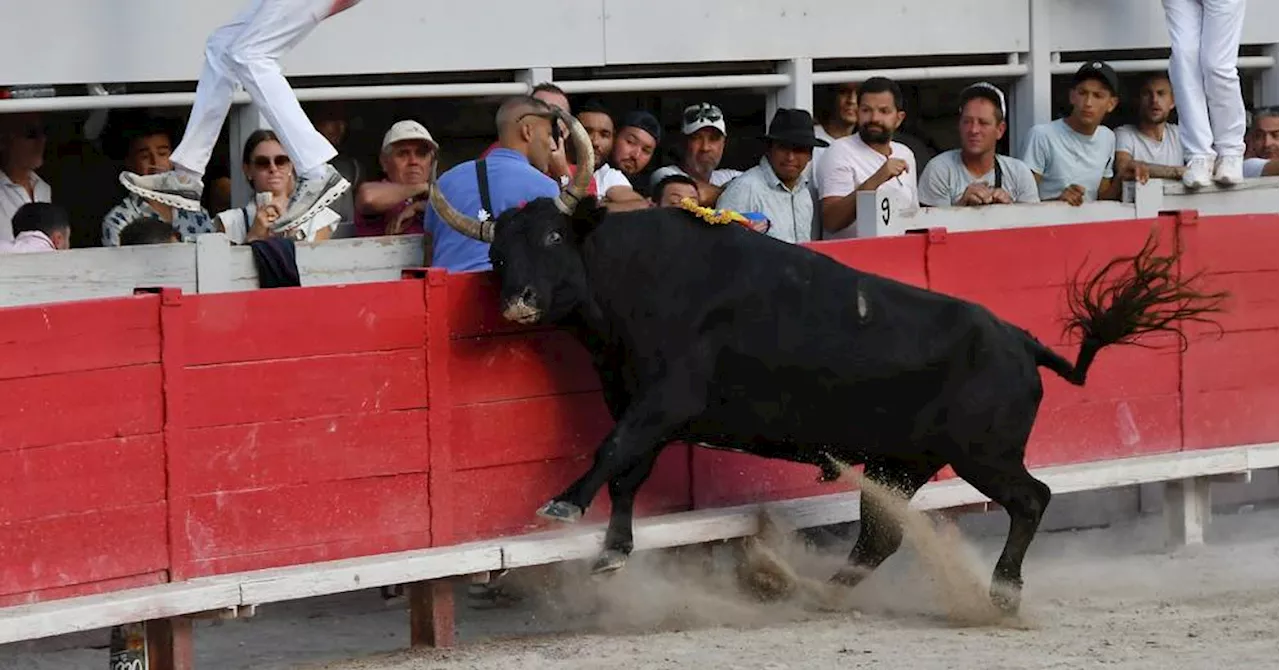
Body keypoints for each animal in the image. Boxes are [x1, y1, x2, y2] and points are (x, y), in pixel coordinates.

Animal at [427, 111, 1218, 620]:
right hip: (904, 460)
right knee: (884, 532)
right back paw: (815, 591)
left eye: (554, 238)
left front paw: (561, 507)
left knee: (1031, 498)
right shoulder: (639, 401)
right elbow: (626, 468)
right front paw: (614, 551)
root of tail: (1021, 339)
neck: (634, 275)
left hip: (982, 452)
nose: (520, 300)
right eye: (499, 256)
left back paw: (1001, 593)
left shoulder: (665, 398)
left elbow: (611, 451)